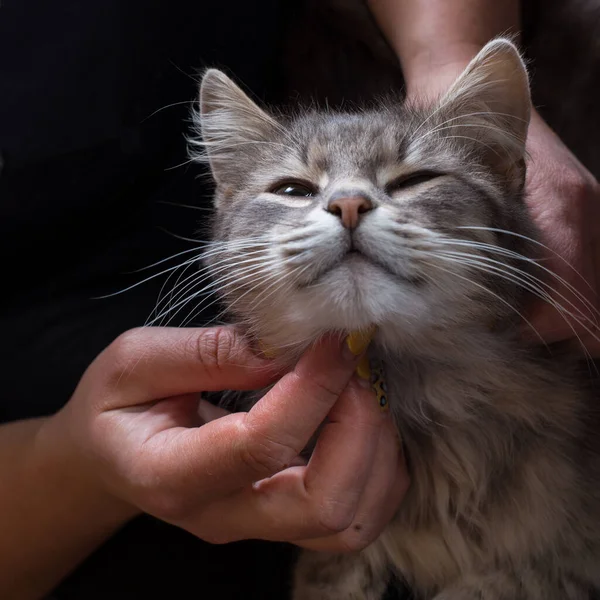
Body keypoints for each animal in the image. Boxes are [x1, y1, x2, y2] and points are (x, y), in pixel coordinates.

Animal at [191, 38, 600, 600]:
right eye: (293, 191)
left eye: (415, 181)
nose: (348, 203)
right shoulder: (331, 565)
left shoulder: (557, 563)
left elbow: (498, 581)